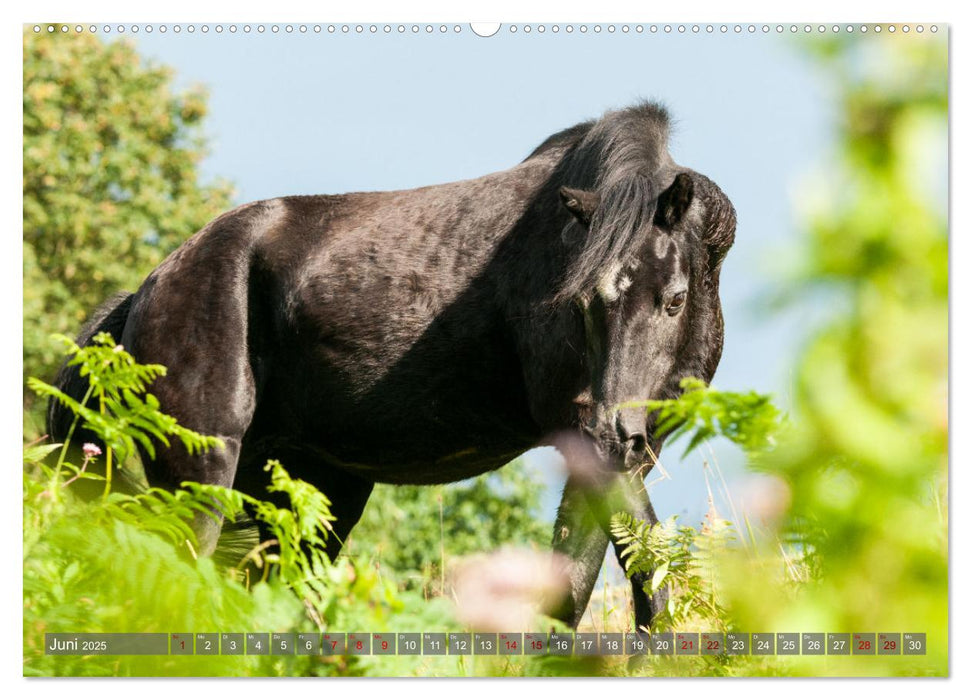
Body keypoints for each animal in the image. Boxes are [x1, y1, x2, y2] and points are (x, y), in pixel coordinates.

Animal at [49, 101, 736, 632]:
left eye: (674, 300)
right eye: (584, 301)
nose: (614, 428)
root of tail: (148, 290)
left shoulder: (629, 451)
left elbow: (585, 580)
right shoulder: (581, 437)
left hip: (308, 489)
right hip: (200, 472)